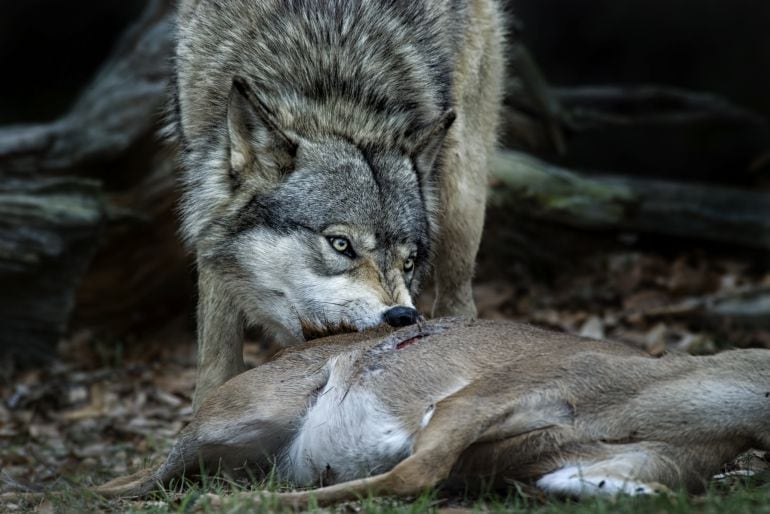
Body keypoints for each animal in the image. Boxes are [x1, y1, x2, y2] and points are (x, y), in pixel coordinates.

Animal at [170, 0, 504, 408]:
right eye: (341, 244)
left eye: (408, 262)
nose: (402, 316)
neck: (330, 82)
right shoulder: (209, 224)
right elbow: (216, 363)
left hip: (461, 189)